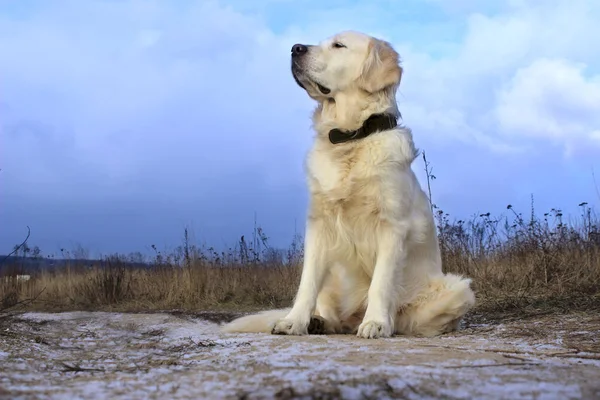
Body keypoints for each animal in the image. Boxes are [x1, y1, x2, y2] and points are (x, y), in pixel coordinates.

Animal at [223, 30, 476, 338]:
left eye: (338, 45)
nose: (295, 48)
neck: (351, 137)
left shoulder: (392, 226)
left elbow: (381, 282)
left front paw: (376, 322)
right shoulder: (318, 225)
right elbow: (306, 283)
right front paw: (294, 321)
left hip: (457, 289)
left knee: (410, 320)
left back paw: (385, 323)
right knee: (334, 317)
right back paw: (318, 321)